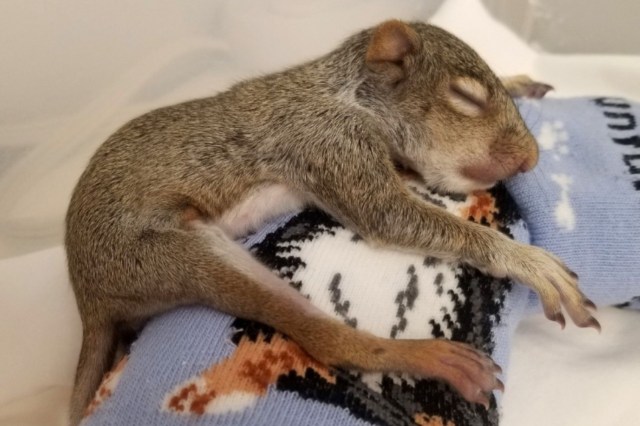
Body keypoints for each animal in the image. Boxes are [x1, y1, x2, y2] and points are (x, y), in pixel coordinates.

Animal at [65, 20, 598, 425]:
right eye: (466, 98)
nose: (532, 159)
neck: (347, 93)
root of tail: (88, 297)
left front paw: (521, 82)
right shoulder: (329, 142)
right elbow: (388, 215)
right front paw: (529, 262)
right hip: (167, 255)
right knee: (327, 339)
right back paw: (432, 358)